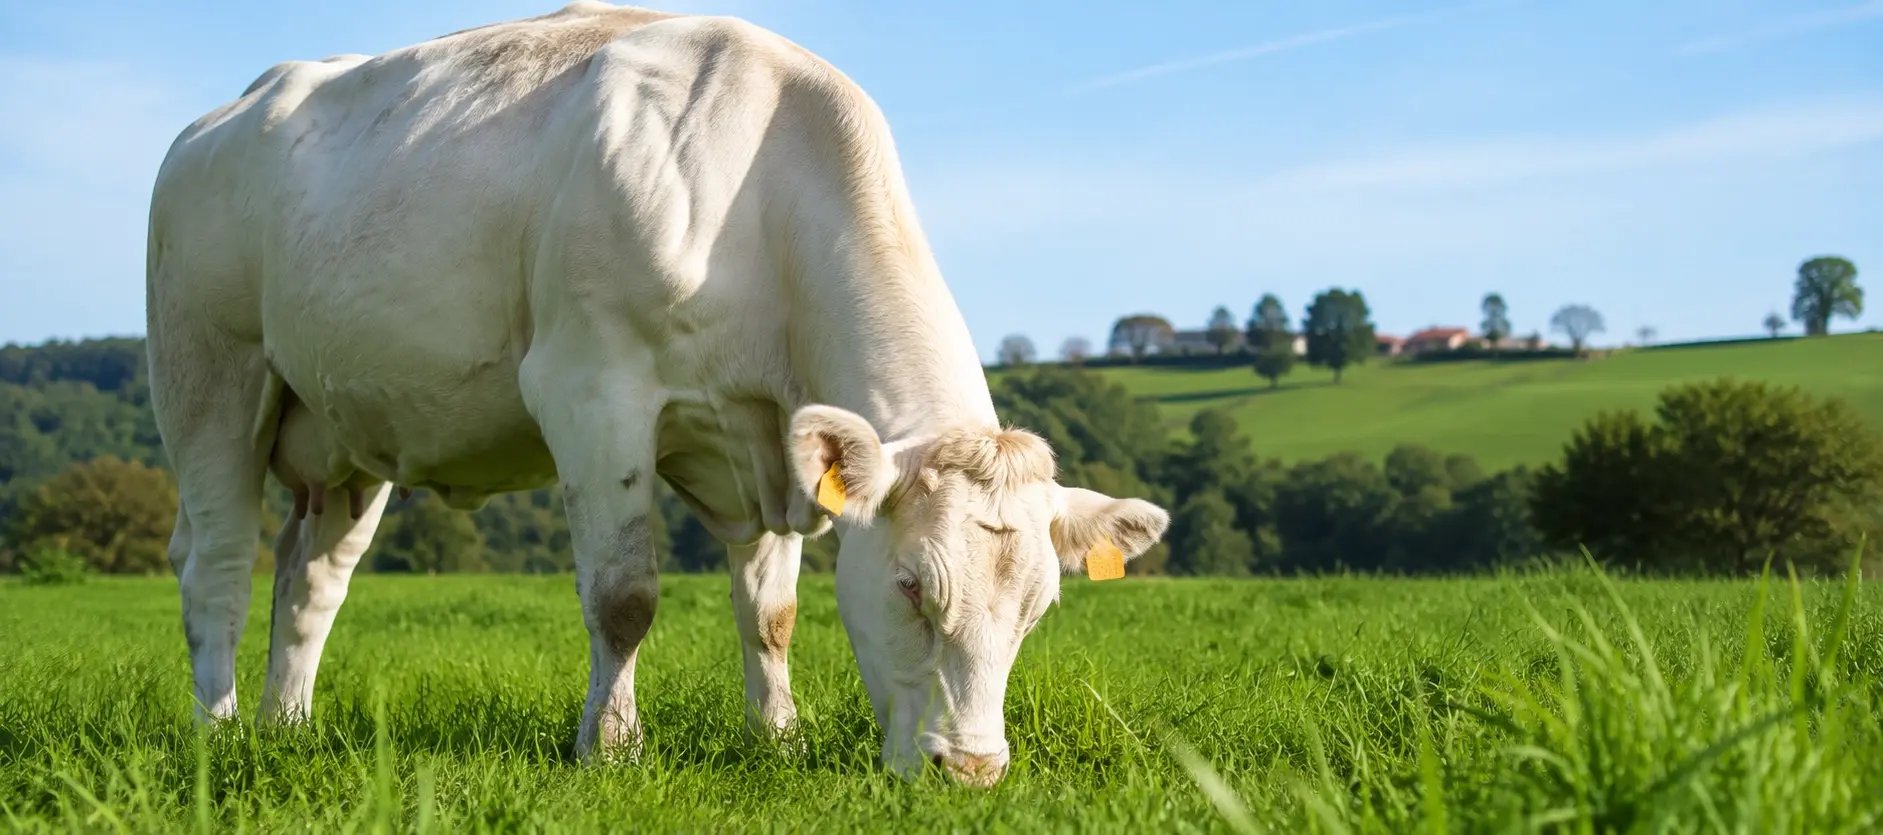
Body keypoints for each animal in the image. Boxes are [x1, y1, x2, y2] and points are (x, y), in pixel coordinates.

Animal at [146, 2, 1169, 787]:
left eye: (1038, 608)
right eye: (913, 586)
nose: (972, 771)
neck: (757, 199)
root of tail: (222, 114)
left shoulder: (767, 442)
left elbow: (771, 611)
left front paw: (777, 738)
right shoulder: (591, 394)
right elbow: (623, 597)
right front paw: (609, 748)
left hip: (347, 430)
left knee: (310, 579)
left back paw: (288, 725)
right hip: (209, 375)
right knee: (219, 564)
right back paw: (220, 730)